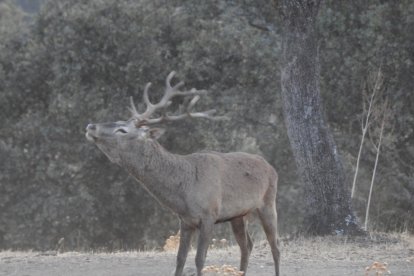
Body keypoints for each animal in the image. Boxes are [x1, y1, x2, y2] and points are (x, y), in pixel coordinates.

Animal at [85, 71, 280, 276]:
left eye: (122, 130)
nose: (91, 126)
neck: (184, 191)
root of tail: (270, 166)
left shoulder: (209, 214)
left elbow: (199, 259)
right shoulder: (185, 221)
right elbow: (180, 259)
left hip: (268, 202)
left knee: (275, 246)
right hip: (238, 214)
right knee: (247, 245)